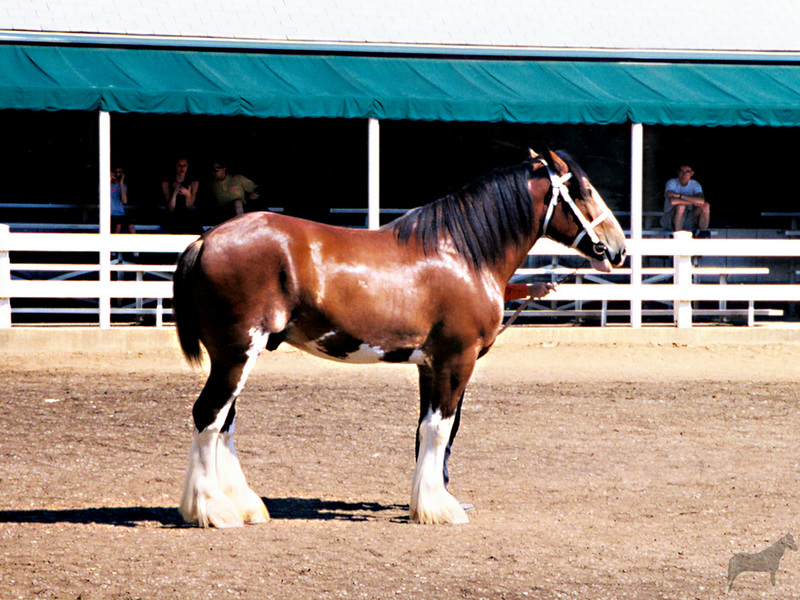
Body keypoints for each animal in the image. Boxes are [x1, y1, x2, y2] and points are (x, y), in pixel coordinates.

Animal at [172, 149, 628, 524]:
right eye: (585, 190)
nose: (618, 249)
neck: (463, 254)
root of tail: (204, 240)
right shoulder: (455, 361)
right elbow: (440, 429)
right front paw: (439, 508)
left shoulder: (430, 365)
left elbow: (427, 429)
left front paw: (425, 500)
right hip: (236, 353)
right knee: (208, 416)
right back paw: (212, 510)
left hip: (237, 355)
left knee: (224, 423)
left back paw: (242, 505)